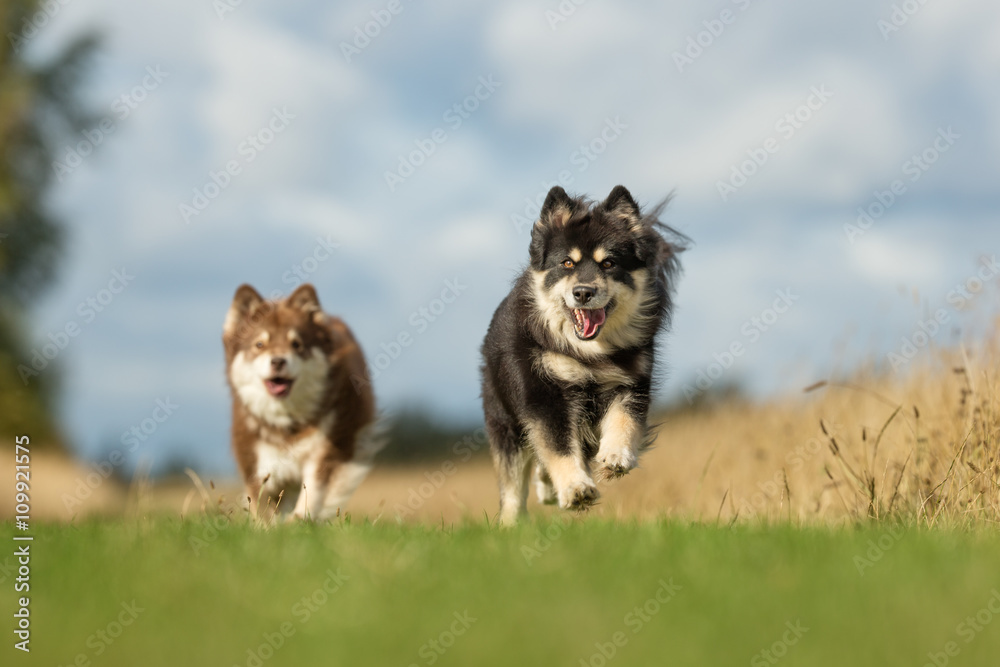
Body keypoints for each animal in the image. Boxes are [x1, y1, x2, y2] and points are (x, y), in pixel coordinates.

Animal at [225, 284, 376, 520]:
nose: (278, 361)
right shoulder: (257, 461)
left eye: (296, 344)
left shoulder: (328, 449)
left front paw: (297, 523)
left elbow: (312, 495)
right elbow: (262, 505)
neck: (287, 421)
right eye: (259, 344)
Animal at [478, 185, 684, 524]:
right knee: (513, 485)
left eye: (609, 263)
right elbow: (557, 446)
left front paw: (616, 457)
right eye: (567, 264)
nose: (584, 292)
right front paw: (576, 489)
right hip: (504, 422)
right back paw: (511, 522)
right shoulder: (544, 394)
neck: (588, 353)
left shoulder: (630, 383)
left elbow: (623, 421)